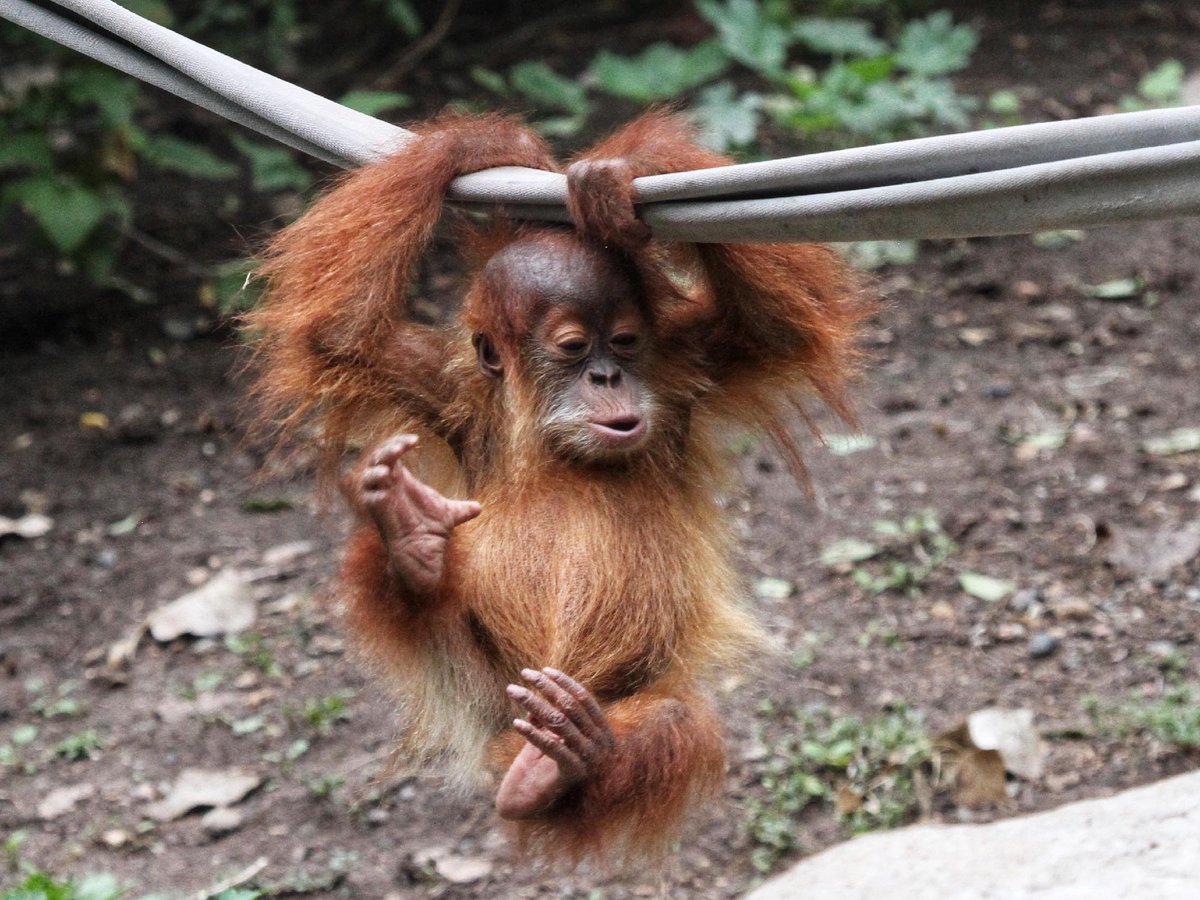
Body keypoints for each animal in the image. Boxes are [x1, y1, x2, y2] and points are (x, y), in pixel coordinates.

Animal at [247, 110, 867, 862]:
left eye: (623, 342)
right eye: (574, 348)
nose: (607, 377)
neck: (560, 444)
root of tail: (508, 751)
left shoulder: (687, 368)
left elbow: (782, 324)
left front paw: (614, 173)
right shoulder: (446, 391)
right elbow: (338, 333)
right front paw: (490, 147)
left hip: (591, 703)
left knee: (665, 720)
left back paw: (564, 765)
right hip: (491, 700)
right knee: (389, 573)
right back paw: (412, 542)